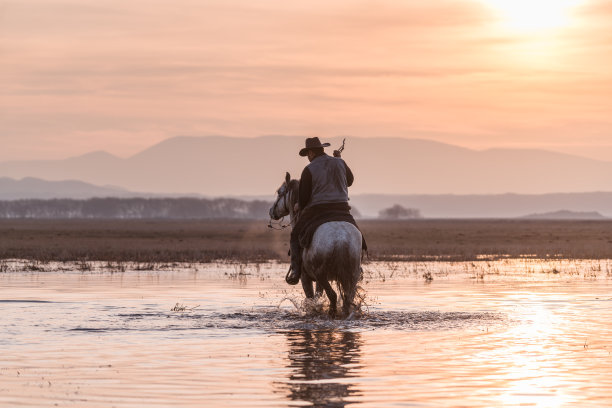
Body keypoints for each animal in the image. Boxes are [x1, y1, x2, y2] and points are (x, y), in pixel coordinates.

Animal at [268, 171, 364, 316]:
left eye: (280, 192)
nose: (271, 211)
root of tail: (342, 239)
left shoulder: (305, 278)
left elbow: (311, 298)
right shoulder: (318, 281)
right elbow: (318, 296)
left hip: (322, 275)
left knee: (333, 296)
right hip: (352, 275)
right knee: (347, 299)